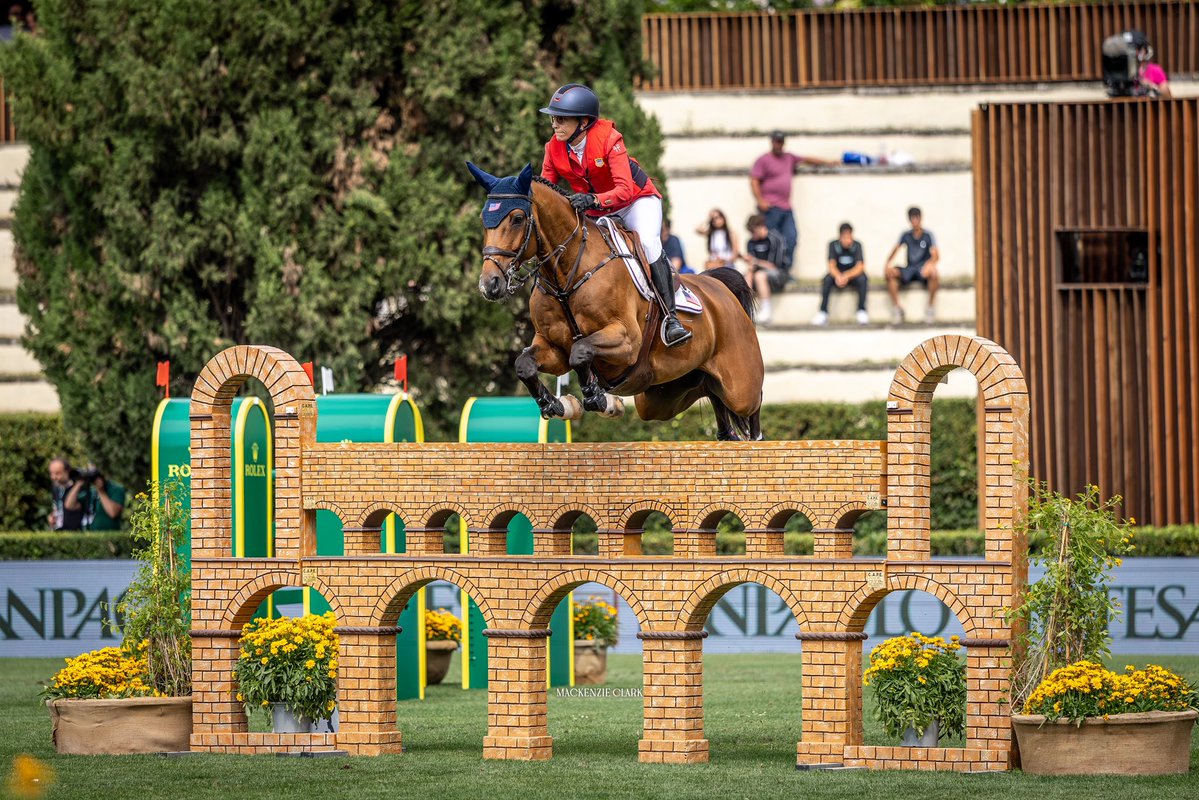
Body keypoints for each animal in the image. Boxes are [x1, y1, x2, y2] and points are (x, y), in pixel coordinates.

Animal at [467, 162, 765, 440]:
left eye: (517, 218)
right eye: (483, 219)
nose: (489, 284)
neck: (568, 275)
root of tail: (719, 286)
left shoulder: (627, 339)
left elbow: (581, 351)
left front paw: (596, 397)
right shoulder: (553, 346)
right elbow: (526, 364)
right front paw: (557, 404)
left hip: (740, 384)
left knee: (751, 404)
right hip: (663, 396)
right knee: (711, 394)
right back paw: (727, 434)